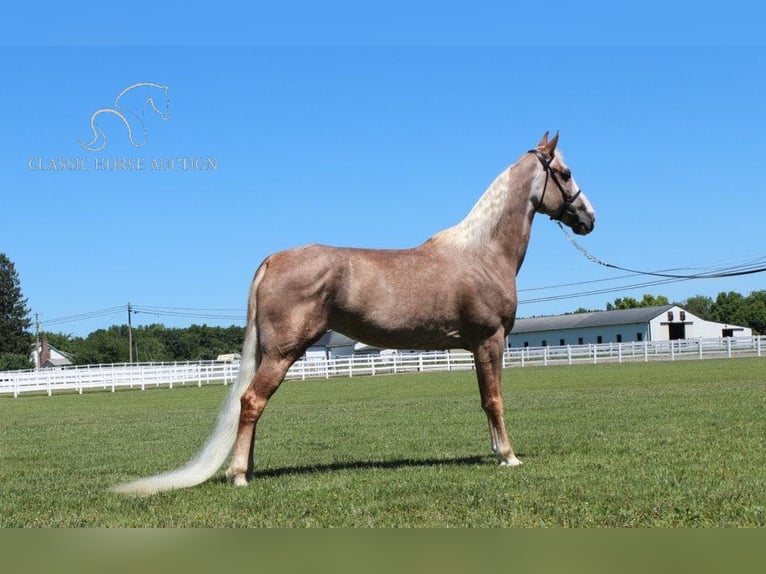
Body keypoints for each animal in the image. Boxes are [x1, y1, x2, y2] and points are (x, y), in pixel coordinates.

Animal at [111, 133, 596, 498]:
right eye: (565, 173)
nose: (589, 217)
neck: (481, 252)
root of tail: (272, 259)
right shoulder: (489, 340)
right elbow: (493, 399)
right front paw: (508, 456)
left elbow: (486, 399)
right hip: (284, 352)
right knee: (252, 402)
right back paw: (238, 475)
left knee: (254, 406)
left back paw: (247, 466)